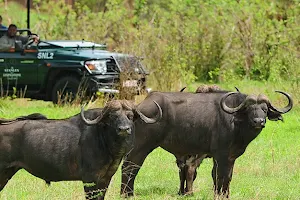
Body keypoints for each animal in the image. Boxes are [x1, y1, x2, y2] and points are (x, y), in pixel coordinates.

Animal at [120, 90, 292, 198]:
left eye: (264, 109)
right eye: (250, 109)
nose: (259, 121)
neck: (236, 122)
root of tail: (137, 110)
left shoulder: (231, 157)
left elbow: (227, 177)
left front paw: (226, 195)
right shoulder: (220, 155)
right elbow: (219, 176)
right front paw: (219, 194)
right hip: (141, 147)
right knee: (130, 168)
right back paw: (127, 194)